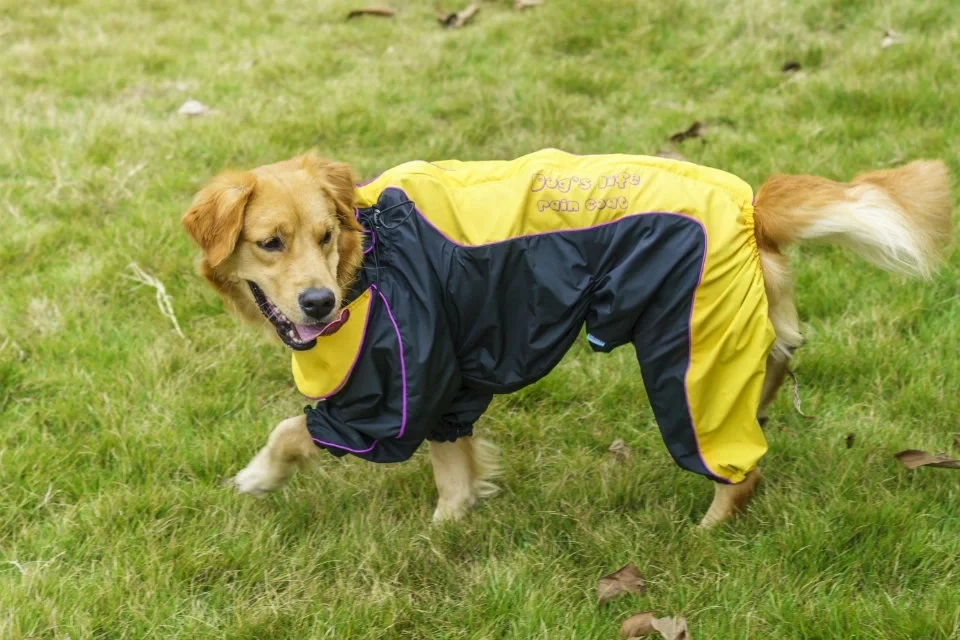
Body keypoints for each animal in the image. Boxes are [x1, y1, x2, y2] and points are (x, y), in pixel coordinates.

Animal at [182, 150, 952, 524]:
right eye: (271, 243)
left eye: (323, 236)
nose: (316, 305)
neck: (370, 252)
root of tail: (752, 207)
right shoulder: (446, 378)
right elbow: (454, 465)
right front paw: (450, 525)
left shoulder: (389, 397)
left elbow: (293, 430)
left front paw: (257, 477)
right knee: (778, 363)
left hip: (689, 356)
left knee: (741, 467)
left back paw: (707, 531)